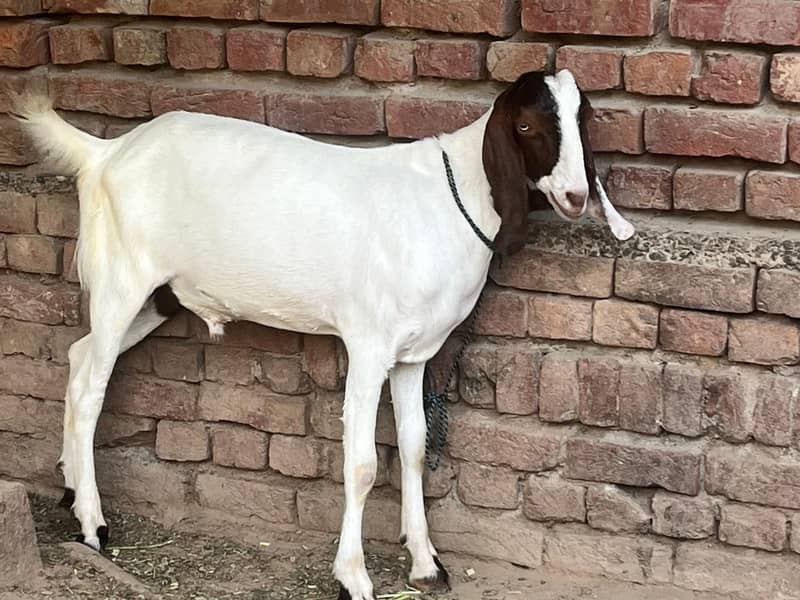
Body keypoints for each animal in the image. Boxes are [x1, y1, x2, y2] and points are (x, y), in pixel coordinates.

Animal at [12, 69, 633, 600]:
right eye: (526, 125)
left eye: (582, 118)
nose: (576, 197)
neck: (448, 200)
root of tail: (105, 153)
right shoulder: (368, 344)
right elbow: (361, 465)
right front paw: (353, 577)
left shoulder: (413, 355)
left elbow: (412, 448)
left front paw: (426, 563)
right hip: (122, 280)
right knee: (90, 387)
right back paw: (93, 524)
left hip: (159, 296)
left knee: (77, 356)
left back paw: (70, 487)